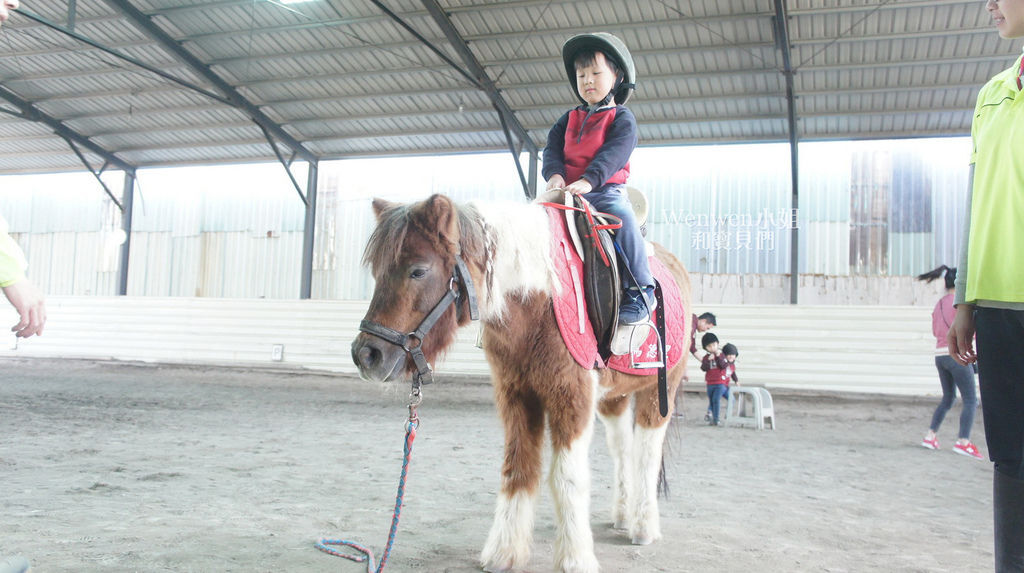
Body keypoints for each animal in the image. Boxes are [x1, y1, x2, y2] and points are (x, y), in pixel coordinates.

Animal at [348, 193, 692, 573]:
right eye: (377, 272)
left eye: (418, 270)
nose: (366, 355)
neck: (537, 303)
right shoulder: (516, 395)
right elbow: (518, 469)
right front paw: (505, 553)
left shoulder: (571, 398)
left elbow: (567, 477)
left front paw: (575, 558)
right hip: (613, 398)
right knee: (622, 448)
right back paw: (621, 514)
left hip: (659, 390)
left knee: (647, 451)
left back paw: (643, 526)